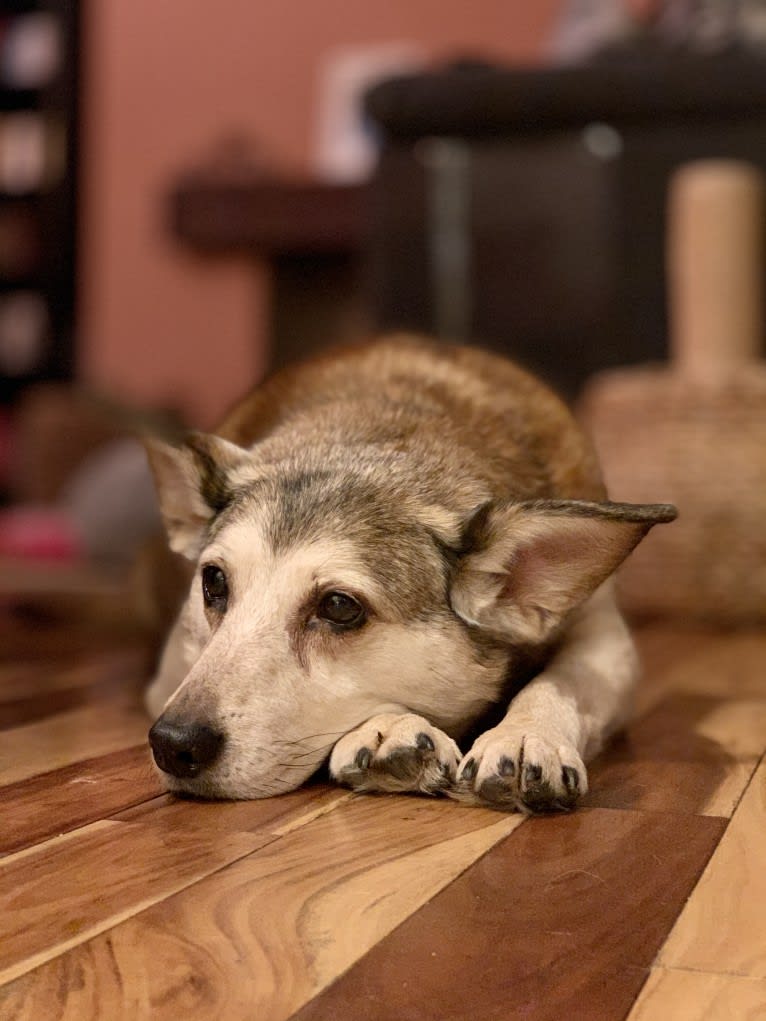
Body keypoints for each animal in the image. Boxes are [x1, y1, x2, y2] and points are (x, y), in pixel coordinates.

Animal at [144, 338, 678, 816]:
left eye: (339, 607)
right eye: (214, 581)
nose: (172, 743)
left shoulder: (605, 634)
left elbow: (564, 680)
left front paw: (528, 735)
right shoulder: (171, 671)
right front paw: (391, 731)